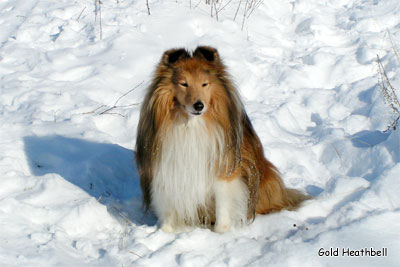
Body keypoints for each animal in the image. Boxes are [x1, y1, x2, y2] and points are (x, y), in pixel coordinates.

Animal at [136, 46, 308, 232]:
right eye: (184, 83)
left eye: (205, 84)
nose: (199, 105)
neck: (192, 124)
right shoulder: (168, 166)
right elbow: (168, 204)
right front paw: (166, 230)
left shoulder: (224, 168)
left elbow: (223, 203)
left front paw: (221, 231)